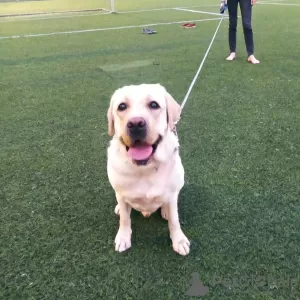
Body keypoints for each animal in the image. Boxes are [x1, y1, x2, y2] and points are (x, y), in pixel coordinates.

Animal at [105, 82, 190, 255]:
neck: (145, 169)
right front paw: (123, 237)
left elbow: (175, 220)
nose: (136, 123)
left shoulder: (172, 194)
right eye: (122, 106)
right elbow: (125, 219)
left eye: (154, 105)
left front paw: (178, 240)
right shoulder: (121, 194)